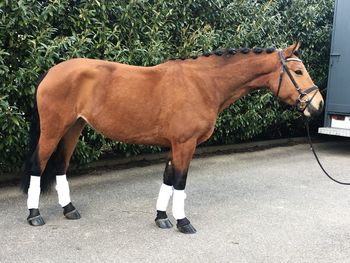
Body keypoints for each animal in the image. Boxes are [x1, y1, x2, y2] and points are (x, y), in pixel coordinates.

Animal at [21, 43, 322, 235]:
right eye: (298, 72)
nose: (317, 105)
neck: (203, 84)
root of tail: (52, 71)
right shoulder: (185, 144)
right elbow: (180, 181)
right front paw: (183, 222)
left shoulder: (174, 145)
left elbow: (167, 178)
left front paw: (161, 218)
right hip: (54, 129)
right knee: (38, 165)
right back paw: (34, 215)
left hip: (74, 128)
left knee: (60, 166)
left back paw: (69, 209)